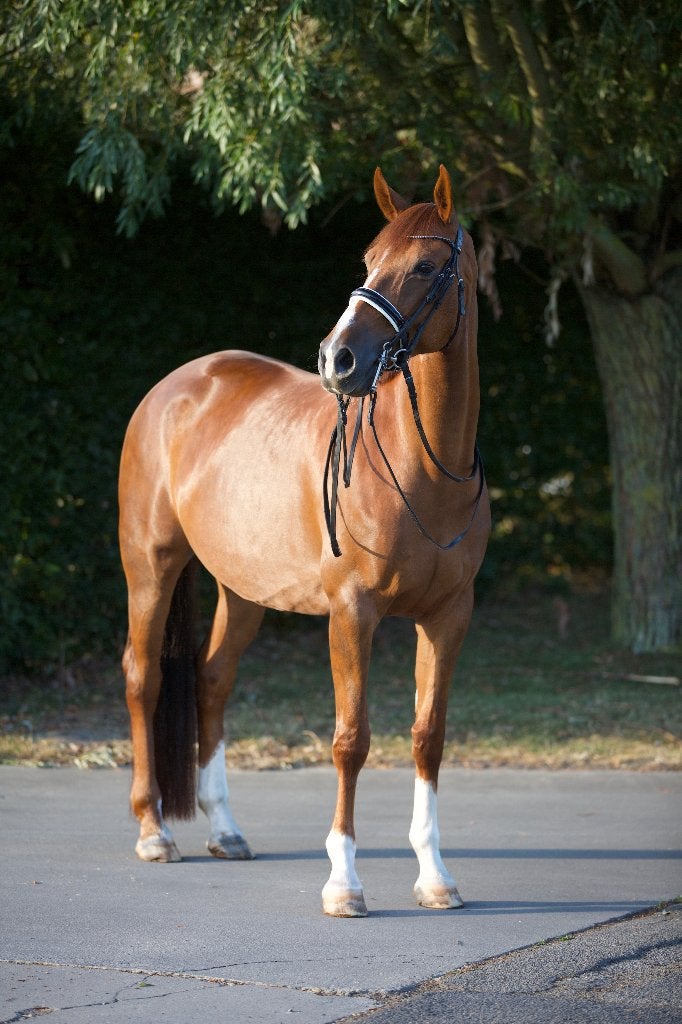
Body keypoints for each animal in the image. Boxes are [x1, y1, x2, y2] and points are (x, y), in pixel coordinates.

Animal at [119, 164, 490, 917]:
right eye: (369, 260)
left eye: (426, 267)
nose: (338, 358)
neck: (423, 468)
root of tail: (173, 388)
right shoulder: (352, 614)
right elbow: (351, 740)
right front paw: (344, 882)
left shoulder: (448, 617)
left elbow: (428, 737)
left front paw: (435, 876)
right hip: (150, 566)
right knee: (143, 676)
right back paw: (153, 831)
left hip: (242, 590)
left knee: (211, 680)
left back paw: (225, 830)